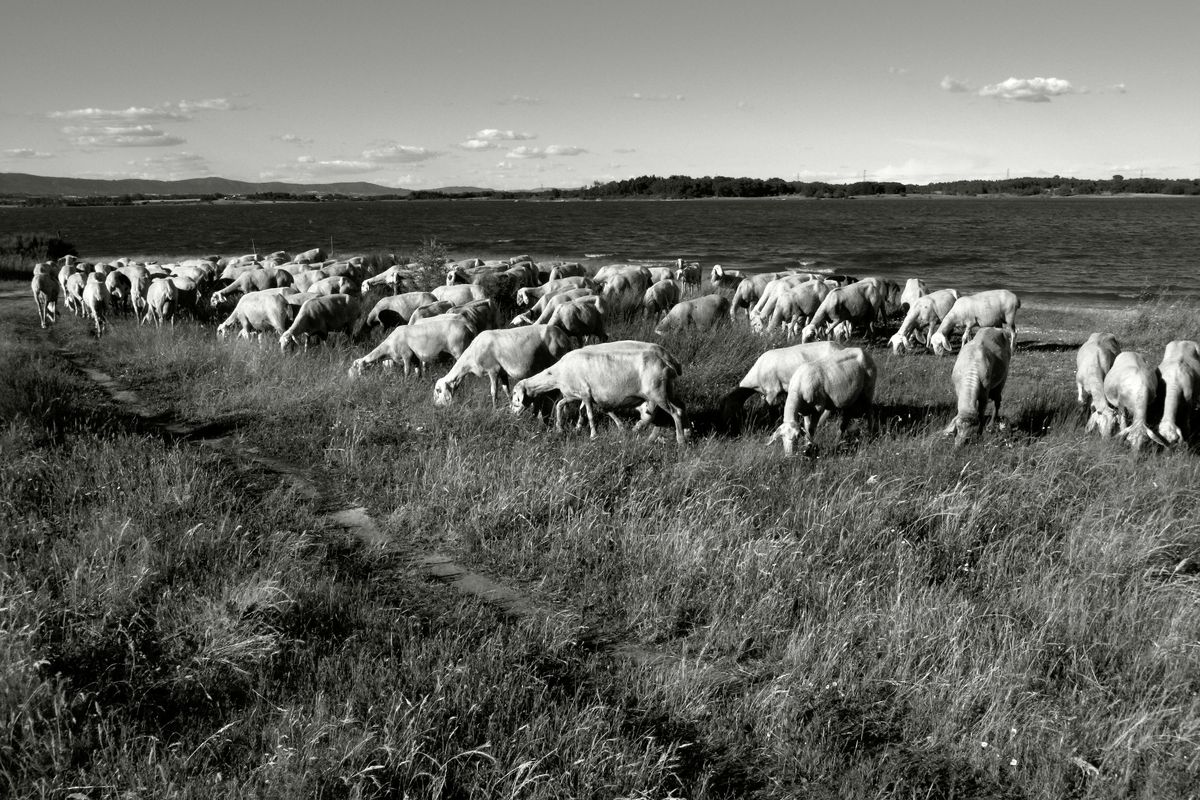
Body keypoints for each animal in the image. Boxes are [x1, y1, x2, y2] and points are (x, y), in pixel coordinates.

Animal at [436, 323, 576, 407]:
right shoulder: (502, 372)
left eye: (438, 390)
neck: (470, 360)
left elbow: (494, 392)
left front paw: (494, 409)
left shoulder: (493, 370)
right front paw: (510, 406)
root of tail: (565, 337)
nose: (437, 407)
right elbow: (506, 390)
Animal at [511, 340, 691, 443]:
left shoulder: (585, 394)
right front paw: (563, 428)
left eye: (515, 398)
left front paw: (593, 435)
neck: (557, 374)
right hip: (666, 390)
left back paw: (679, 440)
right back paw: (680, 434)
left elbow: (590, 413)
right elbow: (564, 406)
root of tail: (668, 362)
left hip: (657, 393)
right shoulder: (576, 395)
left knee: (672, 412)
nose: (512, 415)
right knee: (679, 407)